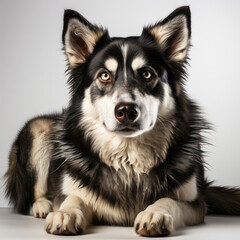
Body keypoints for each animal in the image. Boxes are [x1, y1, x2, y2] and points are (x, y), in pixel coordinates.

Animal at [4, 5, 240, 236]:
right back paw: (42, 205)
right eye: (104, 75)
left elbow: (169, 200)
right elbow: (72, 198)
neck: (128, 158)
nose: (126, 111)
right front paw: (66, 213)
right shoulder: (69, 190)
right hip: (38, 128)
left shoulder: (196, 203)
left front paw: (155, 213)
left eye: (146, 74)